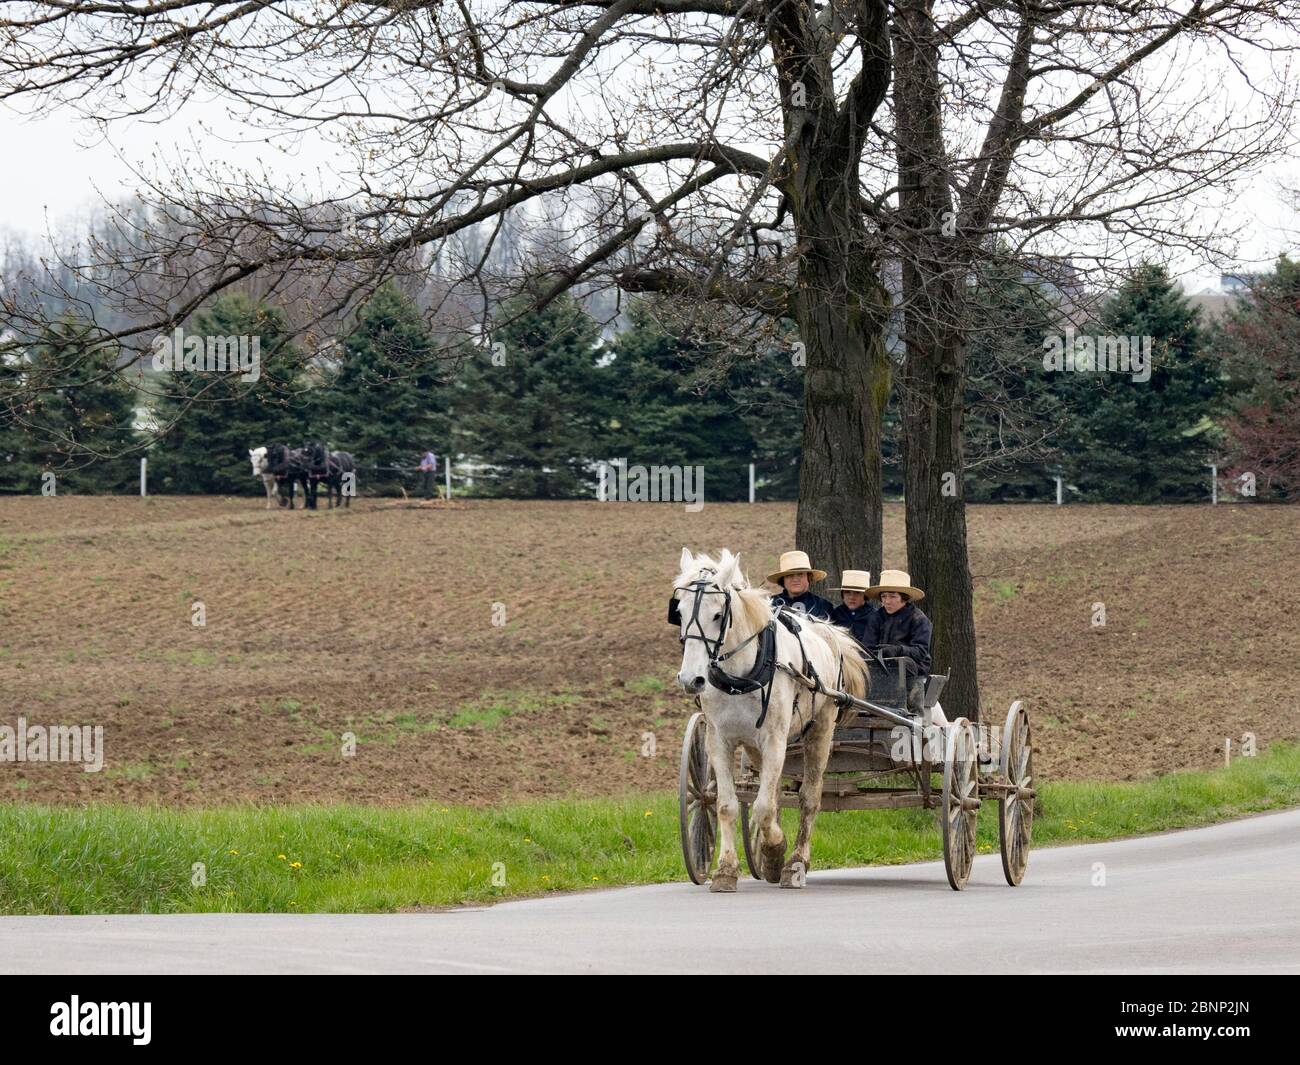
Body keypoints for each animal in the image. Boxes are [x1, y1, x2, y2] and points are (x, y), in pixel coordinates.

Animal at [676, 548, 868, 889]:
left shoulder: (775, 739)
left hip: (820, 730)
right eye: (680, 612)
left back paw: (795, 863)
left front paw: (776, 849)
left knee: (809, 797)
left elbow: (764, 807)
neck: (739, 675)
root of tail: (827, 630)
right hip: (754, 746)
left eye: (717, 615)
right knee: (773, 792)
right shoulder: (719, 740)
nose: (691, 679)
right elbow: (727, 805)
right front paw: (726, 869)